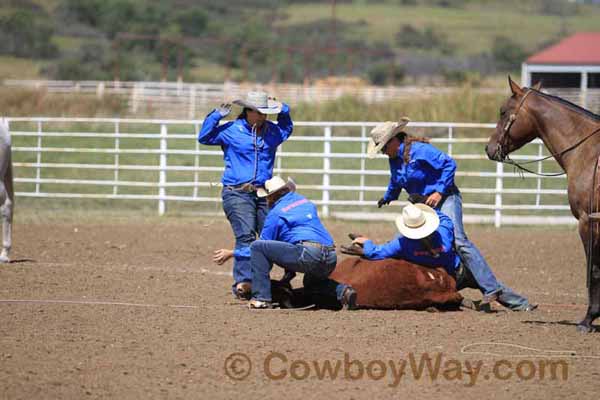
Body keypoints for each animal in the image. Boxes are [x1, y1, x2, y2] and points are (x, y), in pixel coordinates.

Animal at [486, 76, 600, 332]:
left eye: (503, 111)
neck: (588, 154)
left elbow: (594, 270)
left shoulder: (587, 221)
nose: (489, 148)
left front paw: (588, 319)